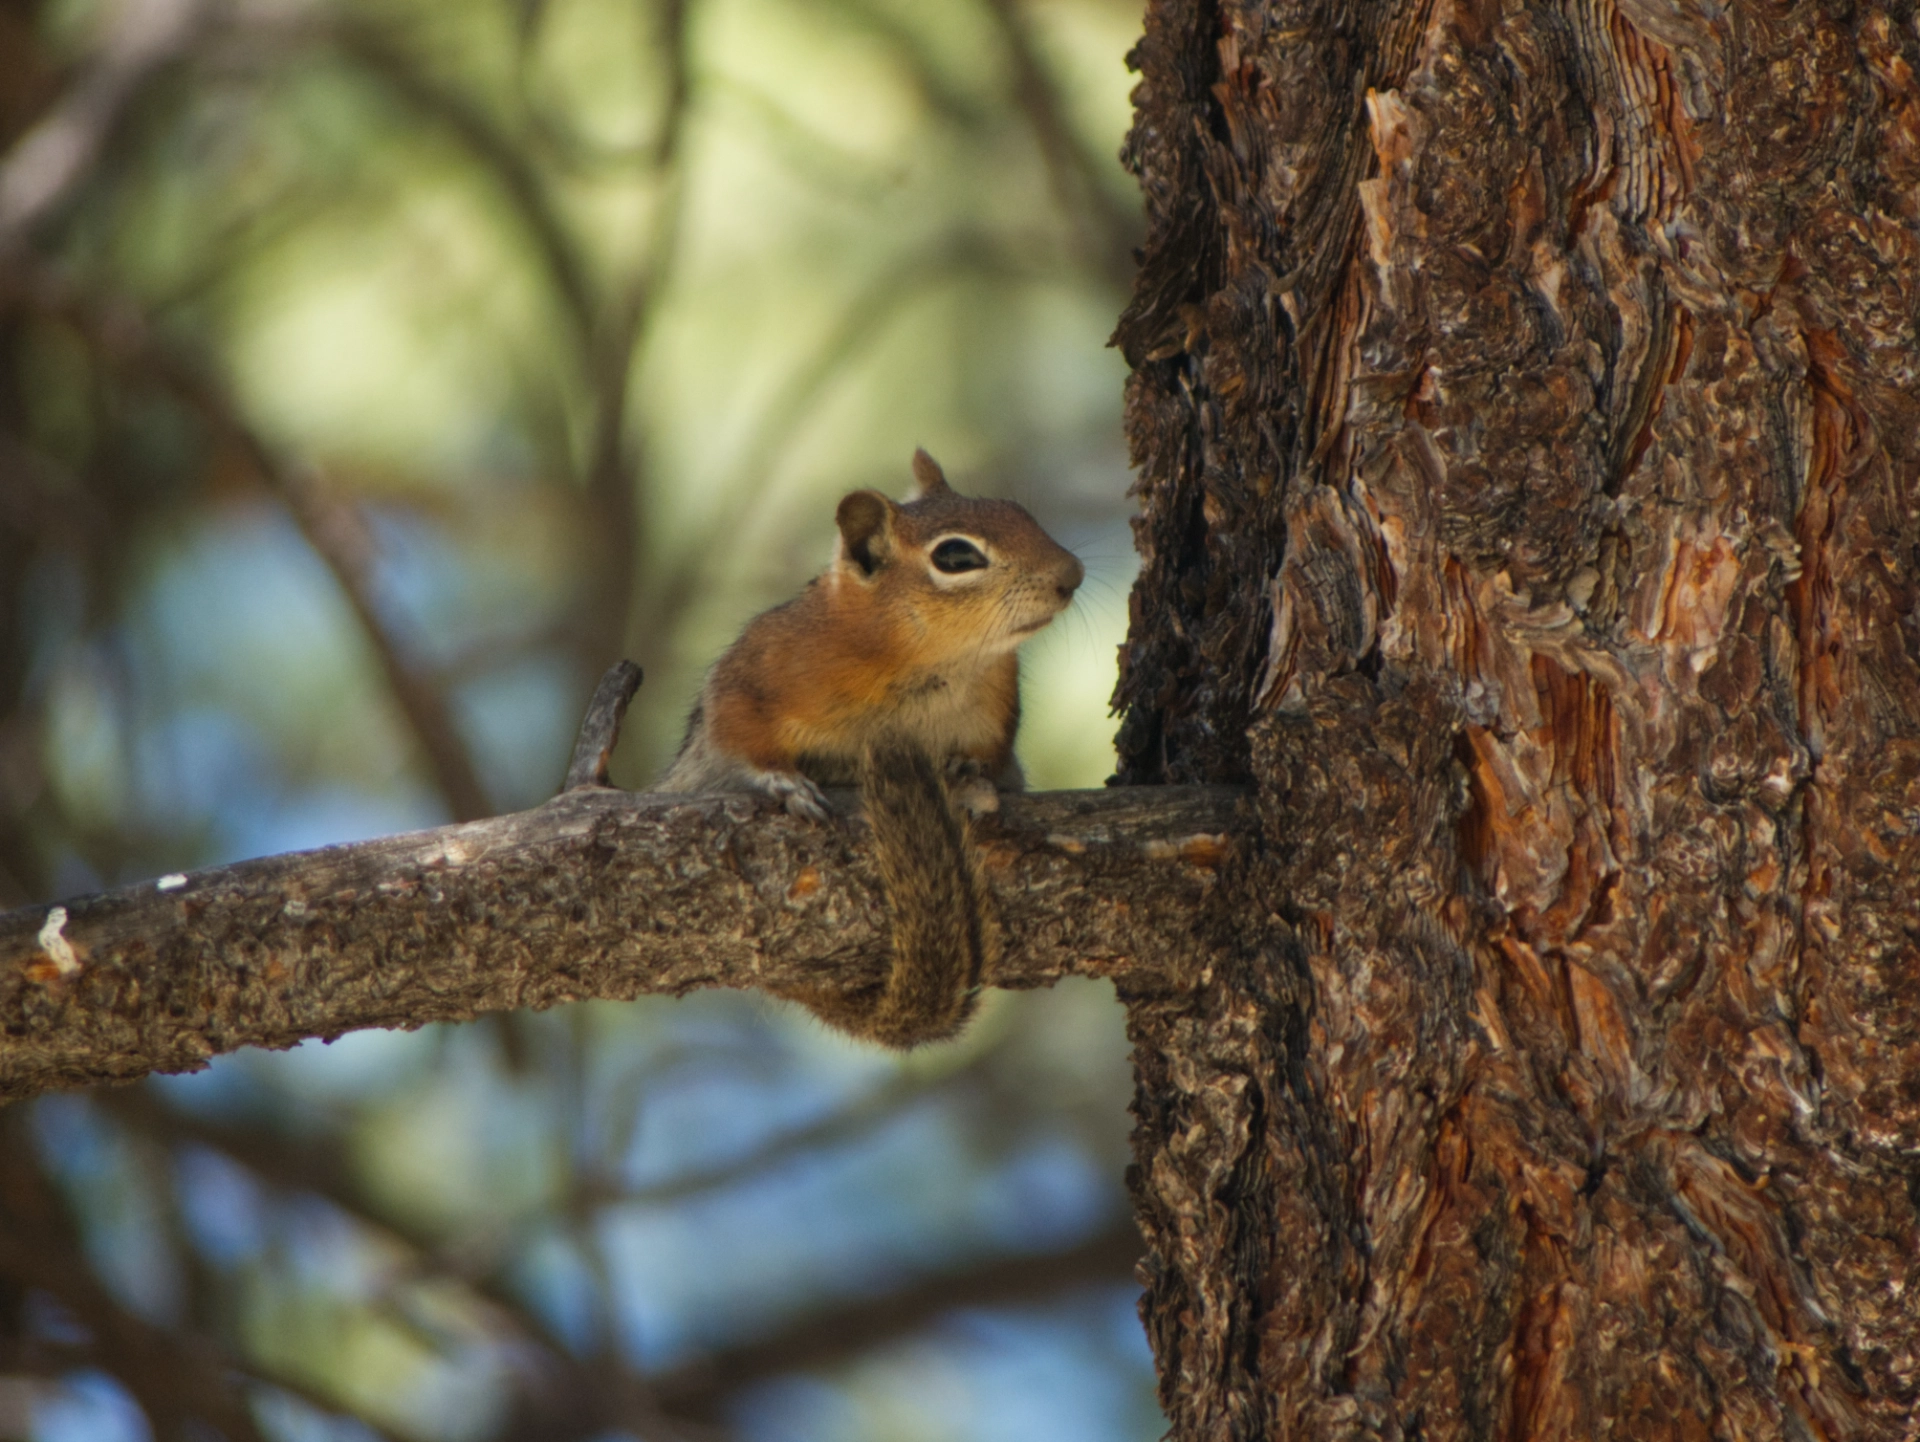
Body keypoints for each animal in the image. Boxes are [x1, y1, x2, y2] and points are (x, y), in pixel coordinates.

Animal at [656, 451, 1082, 1052]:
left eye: (1017, 510)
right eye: (956, 557)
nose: (1072, 575)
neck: (929, 661)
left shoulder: (997, 715)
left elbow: (993, 759)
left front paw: (970, 770)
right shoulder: (755, 673)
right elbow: (737, 735)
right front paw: (785, 782)